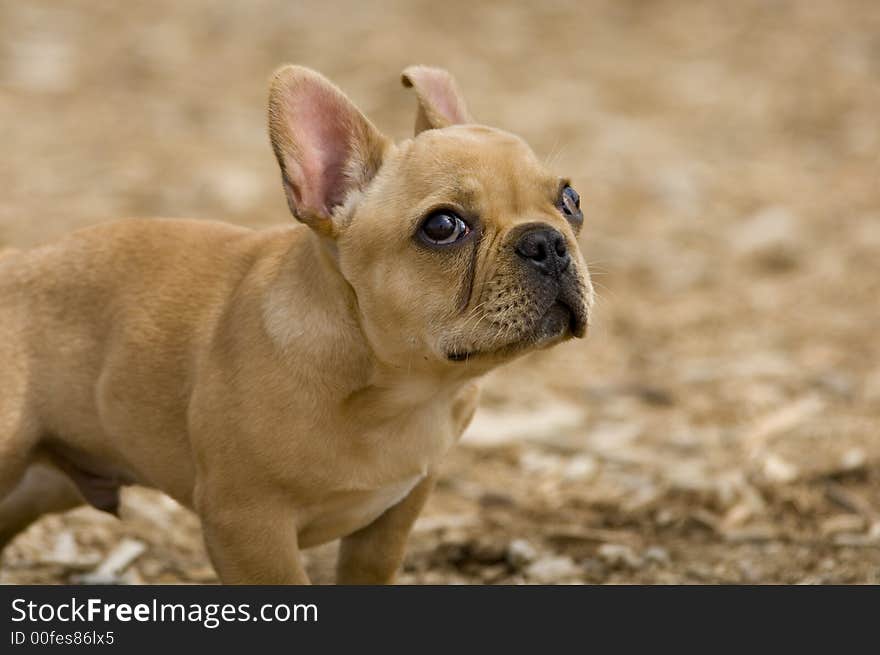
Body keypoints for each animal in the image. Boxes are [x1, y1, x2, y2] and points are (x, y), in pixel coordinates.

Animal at [0, 66, 596, 584]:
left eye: (571, 200)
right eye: (443, 226)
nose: (546, 241)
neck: (395, 391)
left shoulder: (397, 511)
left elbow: (369, 570)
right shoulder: (247, 525)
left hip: (36, 486)